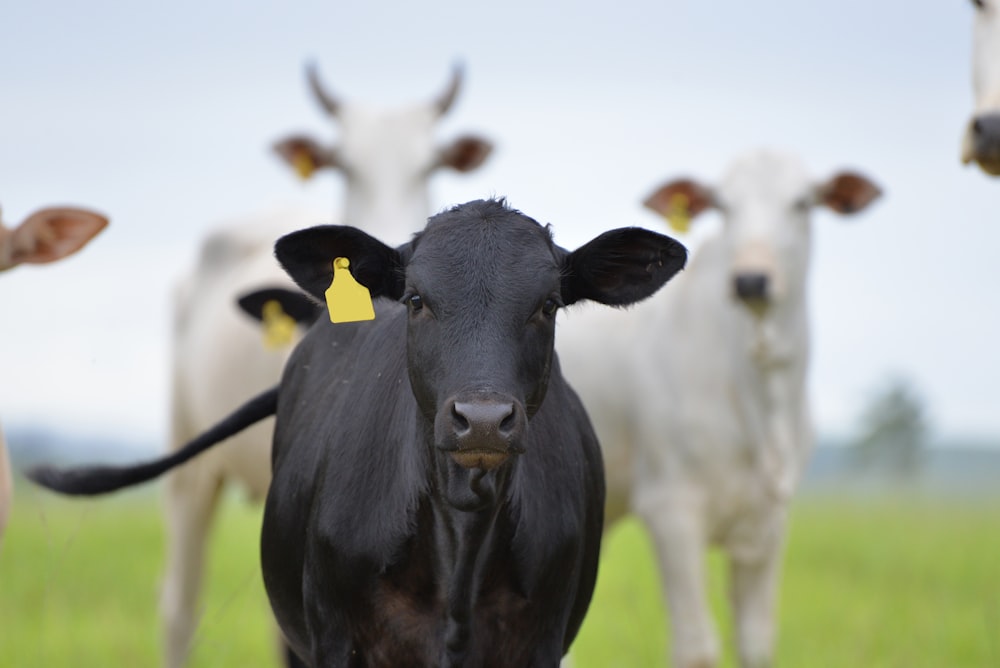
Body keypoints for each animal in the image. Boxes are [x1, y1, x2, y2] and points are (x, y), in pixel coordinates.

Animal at [560, 151, 880, 668]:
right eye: (724, 206)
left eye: (802, 203)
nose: (751, 279)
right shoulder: (671, 509)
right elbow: (697, 646)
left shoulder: (771, 521)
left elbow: (756, 641)